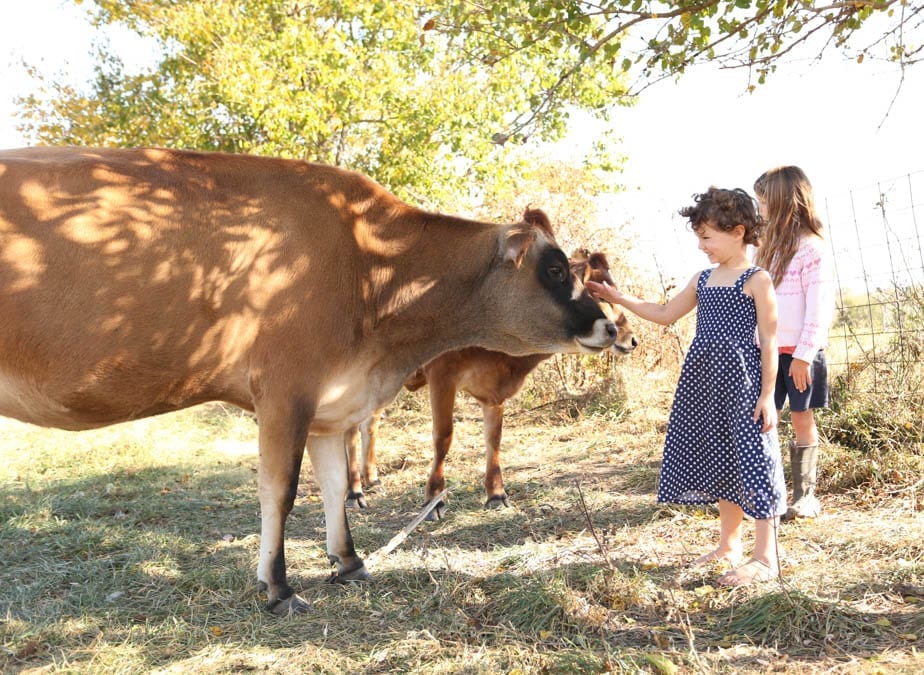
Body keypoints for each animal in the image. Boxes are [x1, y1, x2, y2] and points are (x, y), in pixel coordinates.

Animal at [346, 248, 636, 516]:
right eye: (599, 295)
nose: (627, 338)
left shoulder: (494, 393)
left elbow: (493, 438)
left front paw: (496, 494)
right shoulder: (442, 375)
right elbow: (443, 436)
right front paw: (434, 499)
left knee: (369, 425)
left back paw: (372, 480)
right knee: (350, 431)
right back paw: (354, 492)